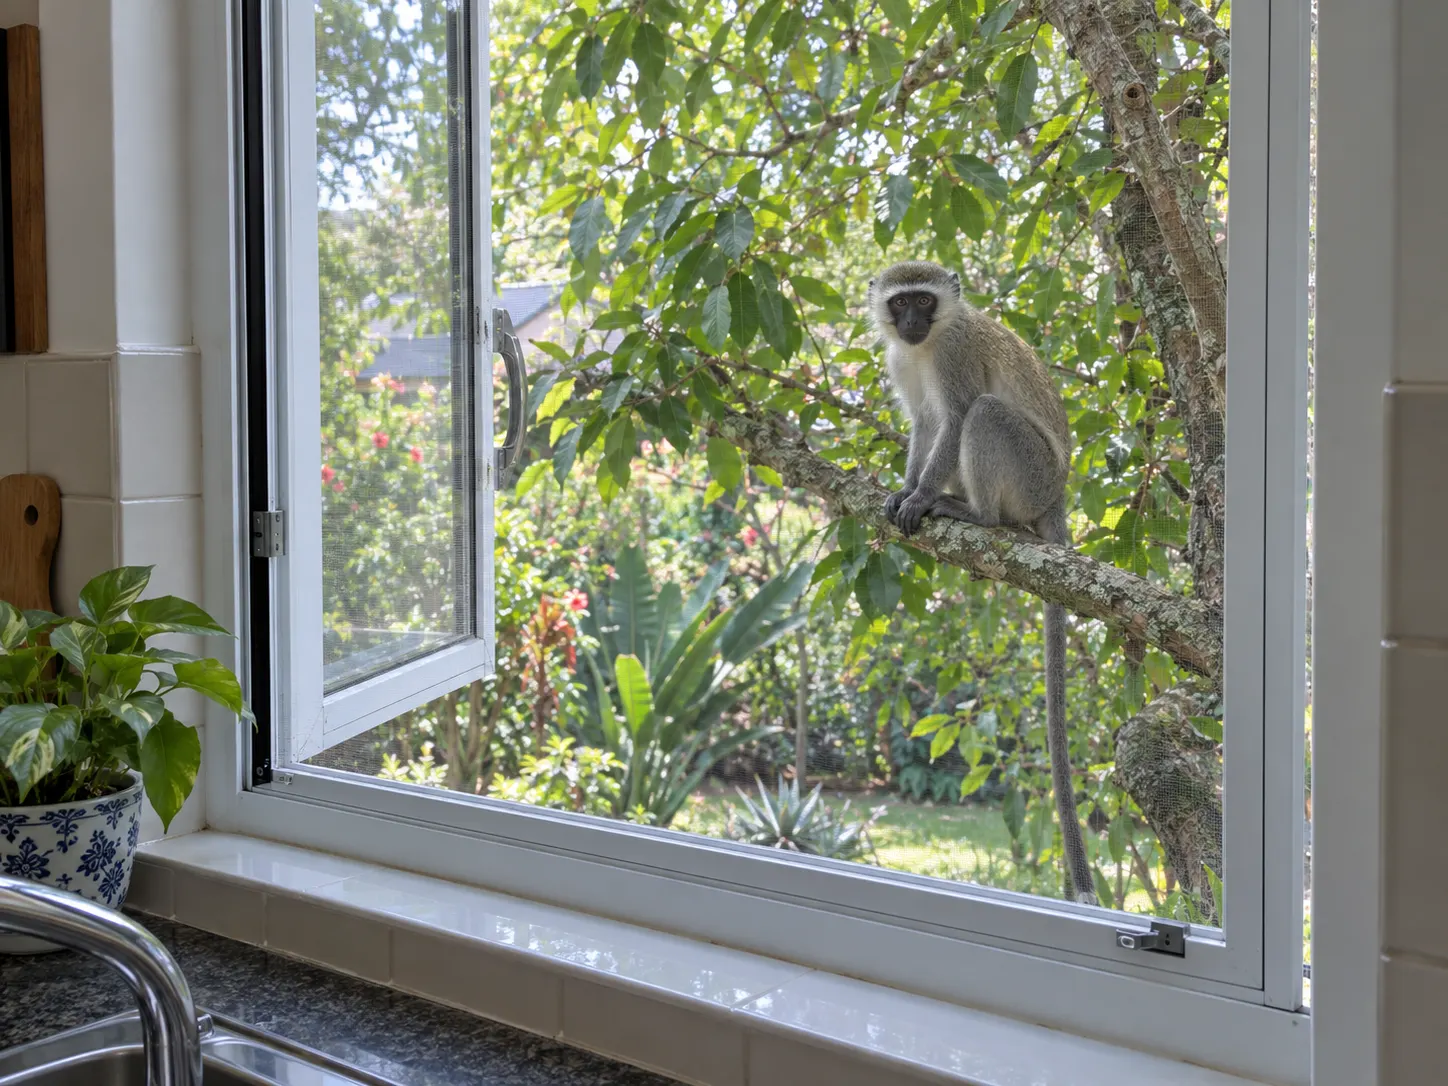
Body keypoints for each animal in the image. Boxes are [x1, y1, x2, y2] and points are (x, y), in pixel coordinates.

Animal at [867, 260, 1095, 906]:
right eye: (900, 303)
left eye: (924, 301)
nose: (913, 323)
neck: (928, 344)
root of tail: (1057, 496)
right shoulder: (900, 359)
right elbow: (924, 423)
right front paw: (904, 488)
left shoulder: (955, 354)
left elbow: (955, 416)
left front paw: (920, 496)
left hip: (1031, 473)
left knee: (985, 413)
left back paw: (975, 514)